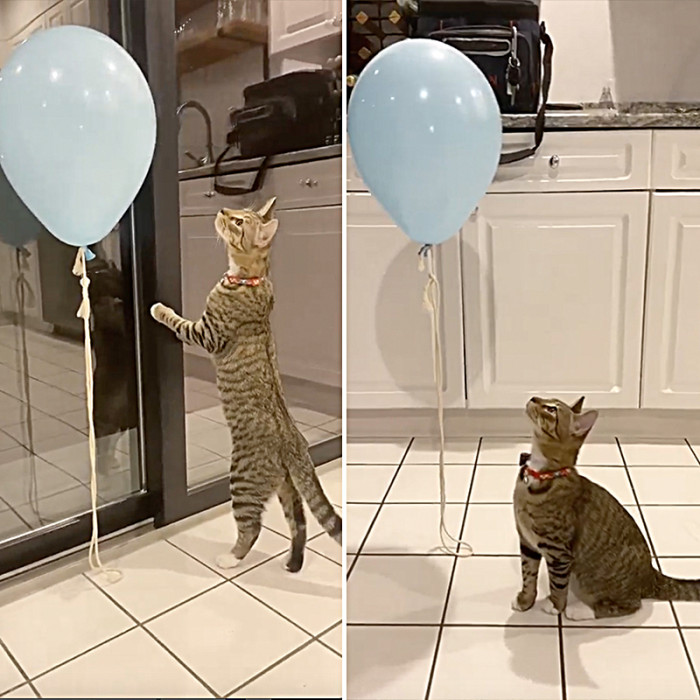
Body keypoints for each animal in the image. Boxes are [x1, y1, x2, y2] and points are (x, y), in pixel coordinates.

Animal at [150, 198, 342, 576]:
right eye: (237, 210)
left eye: (239, 221)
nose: (222, 211)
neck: (250, 278)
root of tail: (295, 444)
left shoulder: (207, 333)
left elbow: (179, 322)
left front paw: (159, 308)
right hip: (285, 488)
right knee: (299, 523)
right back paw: (293, 563)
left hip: (242, 479)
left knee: (251, 526)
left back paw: (230, 558)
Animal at [512, 396, 700, 620]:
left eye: (552, 409)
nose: (533, 398)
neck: (542, 474)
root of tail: (652, 575)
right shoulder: (527, 542)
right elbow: (528, 574)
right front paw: (525, 600)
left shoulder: (558, 552)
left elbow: (557, 584)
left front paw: (555, 605)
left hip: (593, 578)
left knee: (630, 605)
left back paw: (581, 611)